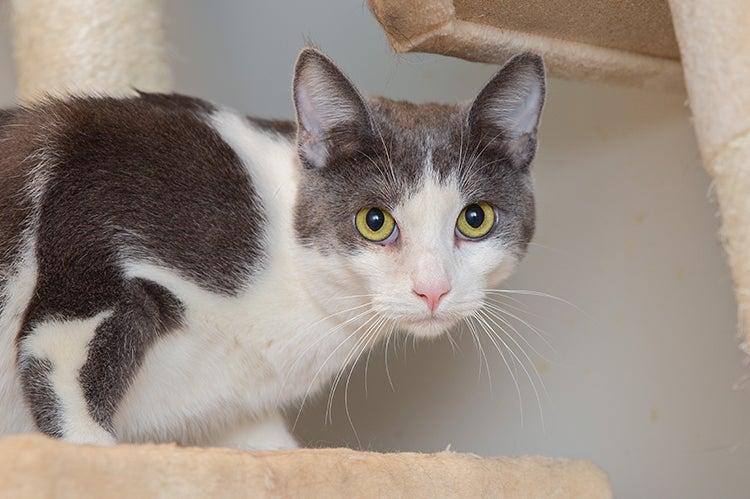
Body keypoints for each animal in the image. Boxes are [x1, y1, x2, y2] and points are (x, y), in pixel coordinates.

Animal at [0, 48, 544, 452]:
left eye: (475, 218)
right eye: (375, 221)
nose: (433, 290)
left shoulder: (230, 407)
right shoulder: (95, 205)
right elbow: (55, 355)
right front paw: (93, 452)